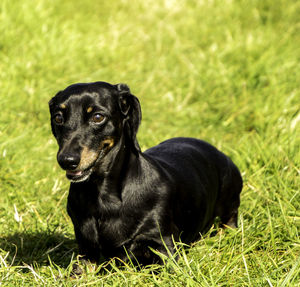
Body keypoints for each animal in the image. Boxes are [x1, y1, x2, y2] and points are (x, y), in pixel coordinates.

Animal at [48, 82, 241, 268]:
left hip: (229, 196)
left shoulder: (164, 246)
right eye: (58, 117)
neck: (103, 198)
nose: (66, 160)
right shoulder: (87, 251)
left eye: (97, 117)